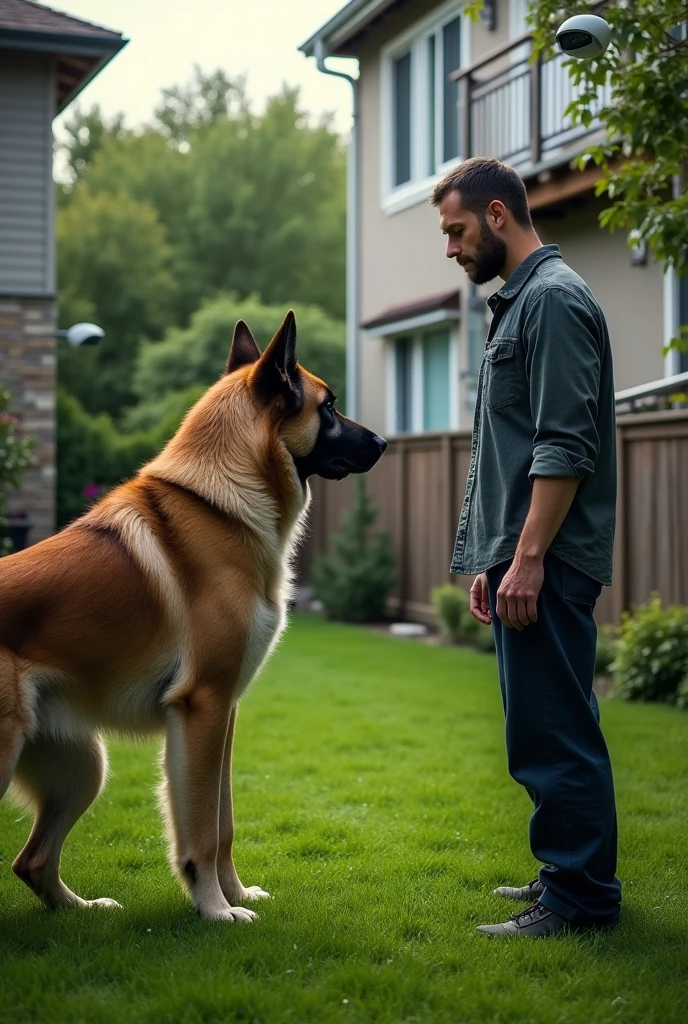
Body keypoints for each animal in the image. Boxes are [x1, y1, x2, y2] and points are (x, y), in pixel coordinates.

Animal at [0, 311, 387, 921]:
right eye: (327, 408)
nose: (384, 442)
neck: (224, 501)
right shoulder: (202, 706)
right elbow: (201, 827)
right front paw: (215, 910)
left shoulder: (224, 711)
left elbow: (222, 824)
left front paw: (234, 896)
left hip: (85, 766)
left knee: (33, 861)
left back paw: (82, 909)